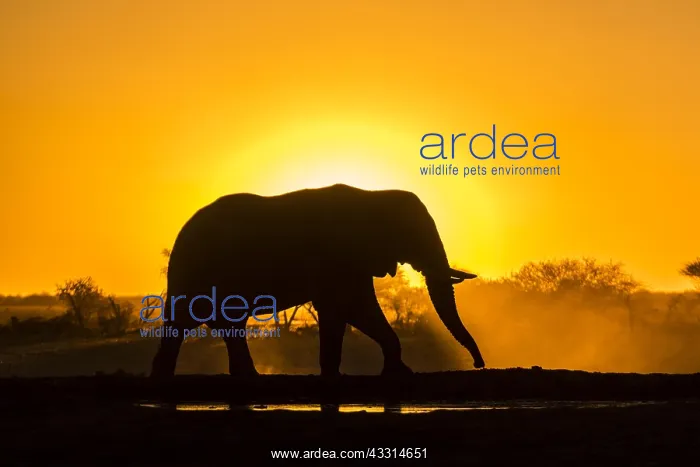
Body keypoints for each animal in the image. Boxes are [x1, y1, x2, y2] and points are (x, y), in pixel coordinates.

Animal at [150, 183, 486, 378]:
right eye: (413, 233)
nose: (478, 364)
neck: (373, 197)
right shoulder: (338, 255)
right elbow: (353, 307)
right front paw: (401, 375)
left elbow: (341, 311)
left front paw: (337, 376)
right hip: (198, 271)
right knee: (190, 321)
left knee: (222, 324)